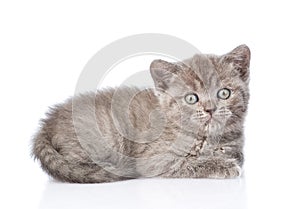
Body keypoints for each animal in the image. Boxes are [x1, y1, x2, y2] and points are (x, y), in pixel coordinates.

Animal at [31, 44, 250, 183]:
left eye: (224, 93)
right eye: (191, 98)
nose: (210, 109)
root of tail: (47, 122)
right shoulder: (154, 160)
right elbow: (187, 162)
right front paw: (222, 165)